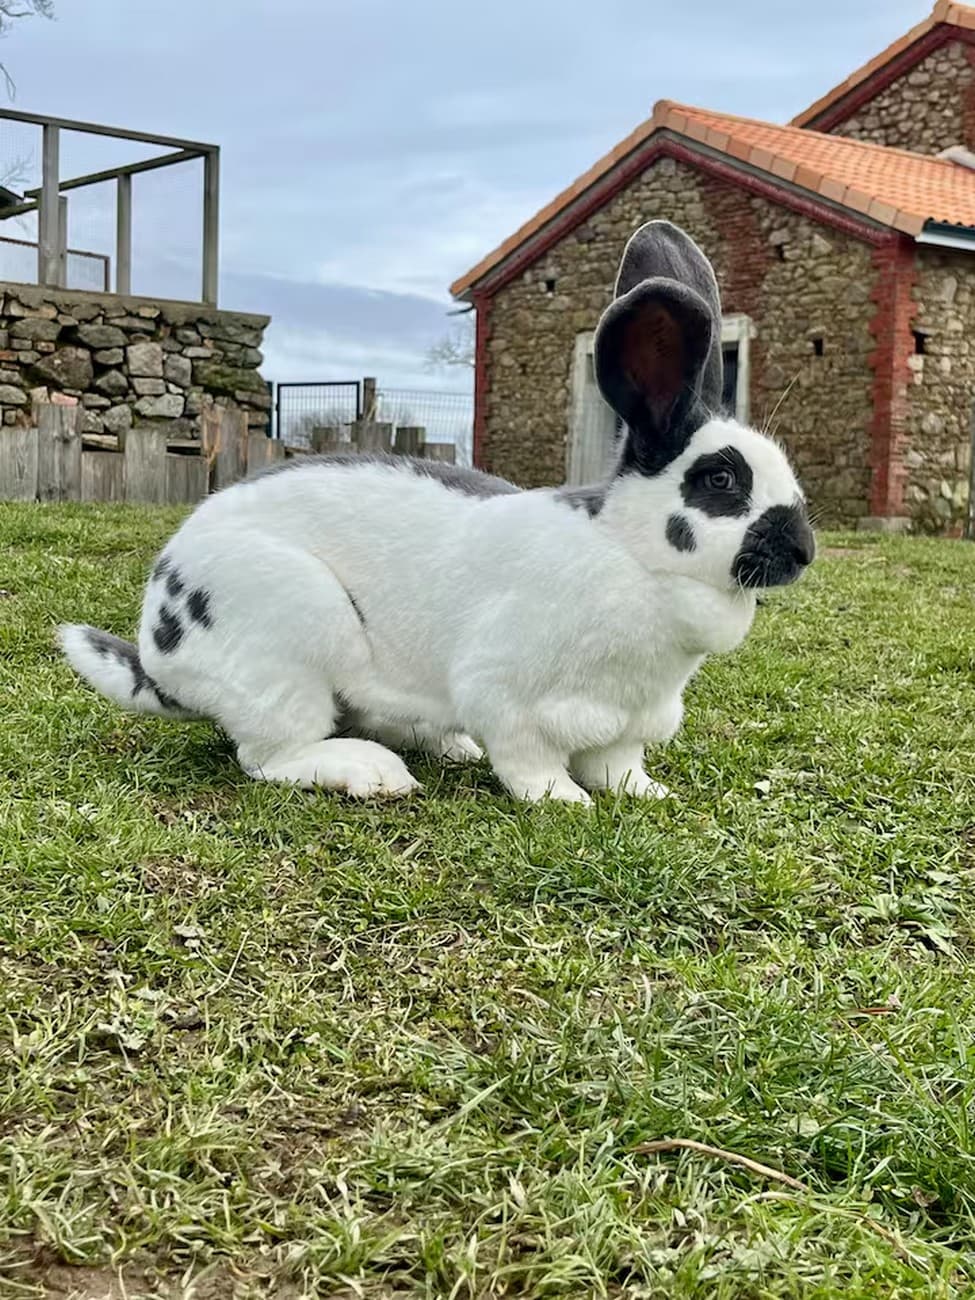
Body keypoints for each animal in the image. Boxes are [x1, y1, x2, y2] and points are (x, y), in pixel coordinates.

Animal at [59, 219, 815, 805]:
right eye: (721, 479)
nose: (803, 551)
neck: (633, 556)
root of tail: (158, 646)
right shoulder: (507, 694)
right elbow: (529, 760)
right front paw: (563, 800)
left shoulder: (629, 723)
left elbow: (618, 767)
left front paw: (648, 795)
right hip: (284, 641)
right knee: (271, 757)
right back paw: (373, 773)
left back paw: (446, 748)